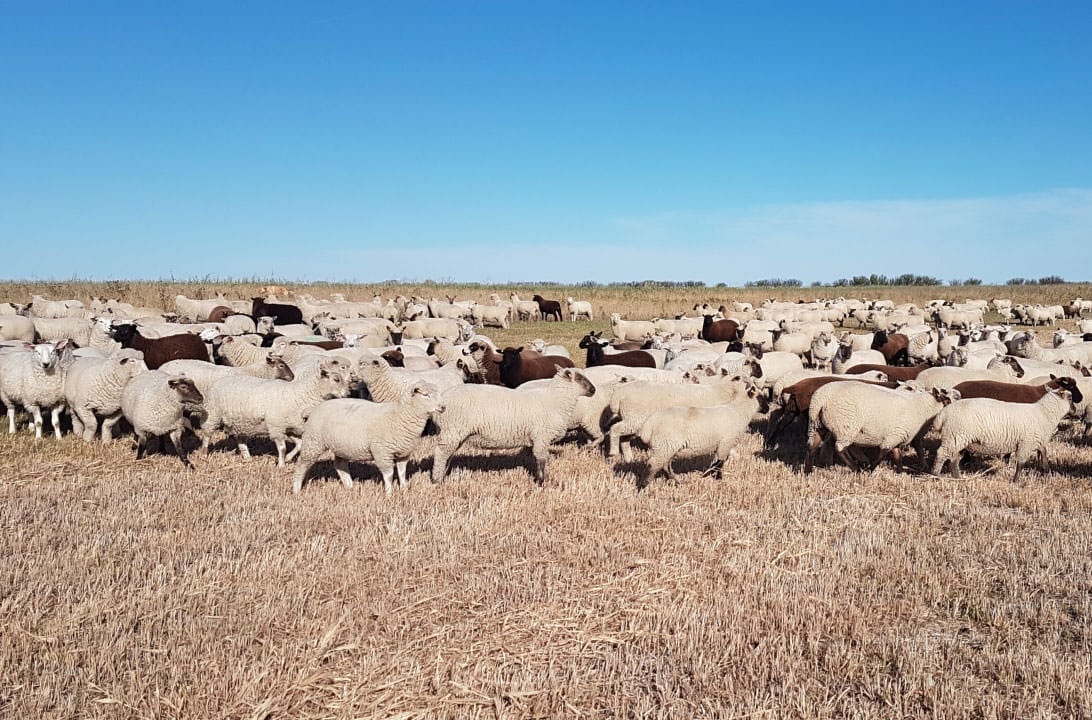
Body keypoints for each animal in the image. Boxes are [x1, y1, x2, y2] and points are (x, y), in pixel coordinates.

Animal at [196, 356, 349, 467]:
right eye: (336, 379)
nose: (347, 394)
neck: (299, 394)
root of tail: (220, 381)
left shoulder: (289, 427)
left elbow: (299, 445)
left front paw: (287, 459)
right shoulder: (276, 427)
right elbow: (282, 448)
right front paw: (281, 464)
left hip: (240, 422)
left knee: (240, 439)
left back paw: (247, 458)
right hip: (214, 414)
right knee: (207, 434)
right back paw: (204, 454)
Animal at [292, 382, 445, 496]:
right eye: (425, 395)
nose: (443, 407)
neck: (400, 415)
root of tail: (313, 409)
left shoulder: (403, 452)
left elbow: (402, 473)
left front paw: (404, 490)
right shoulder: (382, 452)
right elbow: (389, 475)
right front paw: (389, 494)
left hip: (341, 445)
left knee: (340, 465)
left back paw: (350, 486)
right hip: (313, 441)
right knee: (302, 464)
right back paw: (296, 489)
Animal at [428, 371, 598, 485]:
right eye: (580, 378)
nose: (594, 390)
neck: (556, 400)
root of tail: (440, 402)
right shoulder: (541, 437)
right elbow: (541, 460)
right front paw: (542, 482)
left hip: (453, 433)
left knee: (447, 455)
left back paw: (443, 475)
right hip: (452, 430)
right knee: (441, 454)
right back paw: (437, 480)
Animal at [803, 380, 956, 476]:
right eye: (947, 399)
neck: (923, 407)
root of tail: (820, 399)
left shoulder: (896, 434)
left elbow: (897, 455)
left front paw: (899, 472)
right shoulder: (896, 434)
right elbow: (884, 452)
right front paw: (870, 470)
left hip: (817, 424)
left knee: (812, 445)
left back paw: (808, 472)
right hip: (846, 425)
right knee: (840, 447)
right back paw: (855, 468)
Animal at [930, 386, 1083, 480]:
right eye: (1070, 398)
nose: (1075, 410)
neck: (1044, 412)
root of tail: (942, 414)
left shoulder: (1036, 440)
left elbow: (1044, 454)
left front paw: (1046, 471)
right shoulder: (1026, 442)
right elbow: (1021, 463)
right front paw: (1016, 481)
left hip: (956, 437)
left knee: (954, 457)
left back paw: (957, 477)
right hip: (955, 436)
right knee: (942, 454)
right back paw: (935, 475)